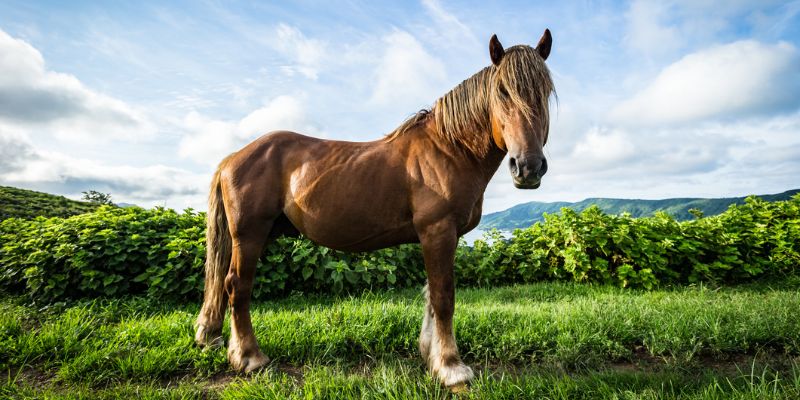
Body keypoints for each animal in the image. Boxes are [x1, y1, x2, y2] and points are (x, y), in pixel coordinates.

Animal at [195, 29, 556, 390]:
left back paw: (212, 336)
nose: (528, 167)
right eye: (502, 91)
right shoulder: (438, 231)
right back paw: (250, 357)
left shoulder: (442, 237)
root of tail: (233, 157)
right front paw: (451, 367)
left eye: (546, 91)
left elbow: (431, 295)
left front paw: (431, 355)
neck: (449, 149)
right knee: (237, 286)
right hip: (250, 235)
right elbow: (444, 297)